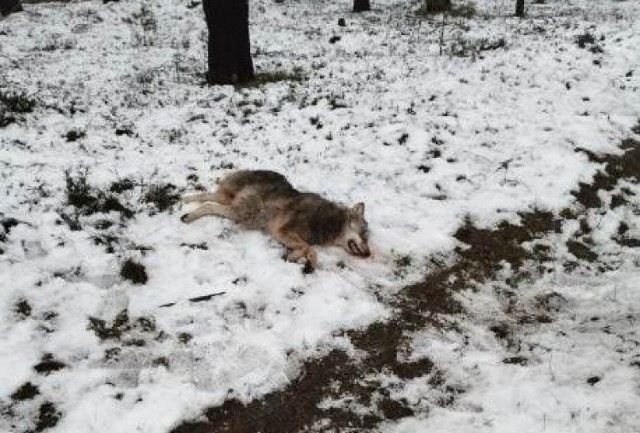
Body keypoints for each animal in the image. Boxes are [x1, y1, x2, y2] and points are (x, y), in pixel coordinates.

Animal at [181, 170, 370, 266]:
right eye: (364, 235)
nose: (368, 254)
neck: (330, 222)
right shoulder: (282, 231)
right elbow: (310, 248)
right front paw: (309, 261)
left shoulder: (283, 234)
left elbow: (305, 247)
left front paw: (293, 256)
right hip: (242, 212)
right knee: (208, 205)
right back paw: (188, 216)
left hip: (228, 202)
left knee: (206, 196)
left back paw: (185, 202)